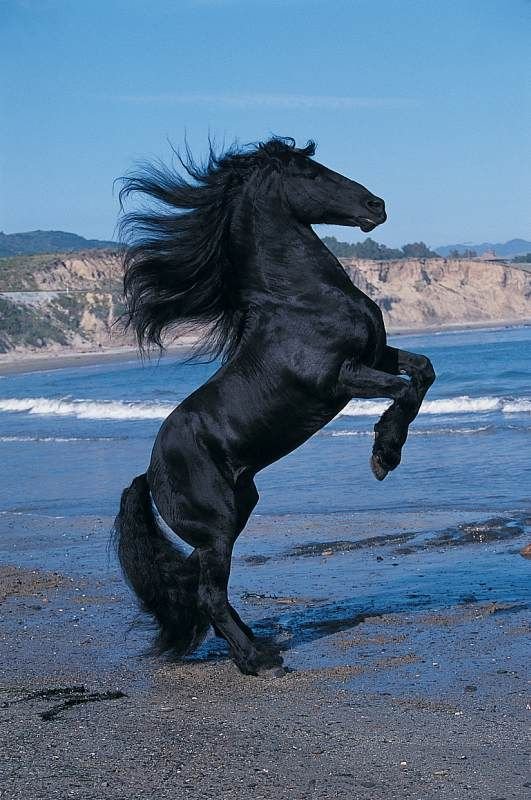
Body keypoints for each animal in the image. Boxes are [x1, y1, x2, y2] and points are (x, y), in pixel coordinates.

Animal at [114, 136, 435, 676]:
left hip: (235, 514)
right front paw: (383, 457)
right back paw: (257, 660)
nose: (376, 206)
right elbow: (405, 390)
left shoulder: (375, 356)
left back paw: (259, 646)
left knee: (199, 587)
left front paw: (386, 452)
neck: (299, 300)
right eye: (311, 174)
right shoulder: (341, 378)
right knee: (209, 595)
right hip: (218, 526)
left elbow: (424, 372)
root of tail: (149, 474)